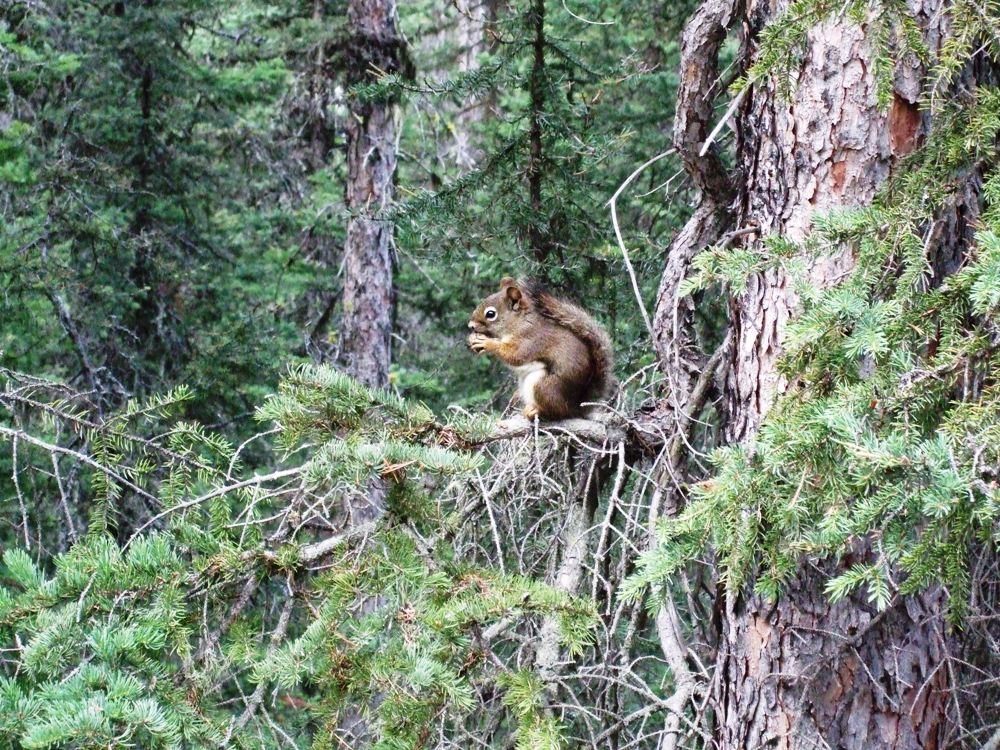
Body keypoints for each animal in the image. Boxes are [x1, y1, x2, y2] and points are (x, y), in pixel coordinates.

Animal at [466, 278, 612, 424]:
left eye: (490, 314)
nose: (470, 326)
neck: (520, 323)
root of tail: (577, 408)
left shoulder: (531, 340)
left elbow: (515, 355)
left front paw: (487, 343)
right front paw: (473, 339)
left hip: (545, 387)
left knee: (558, 412)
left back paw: (536, 411)